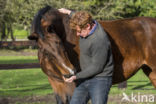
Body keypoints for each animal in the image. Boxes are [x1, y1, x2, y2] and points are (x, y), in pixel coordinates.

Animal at [28, 5, 156, 104]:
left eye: (60, 43)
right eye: (45, 51)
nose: (70, 73)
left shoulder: (72, 86)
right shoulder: (56, 84)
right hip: (150, 71)